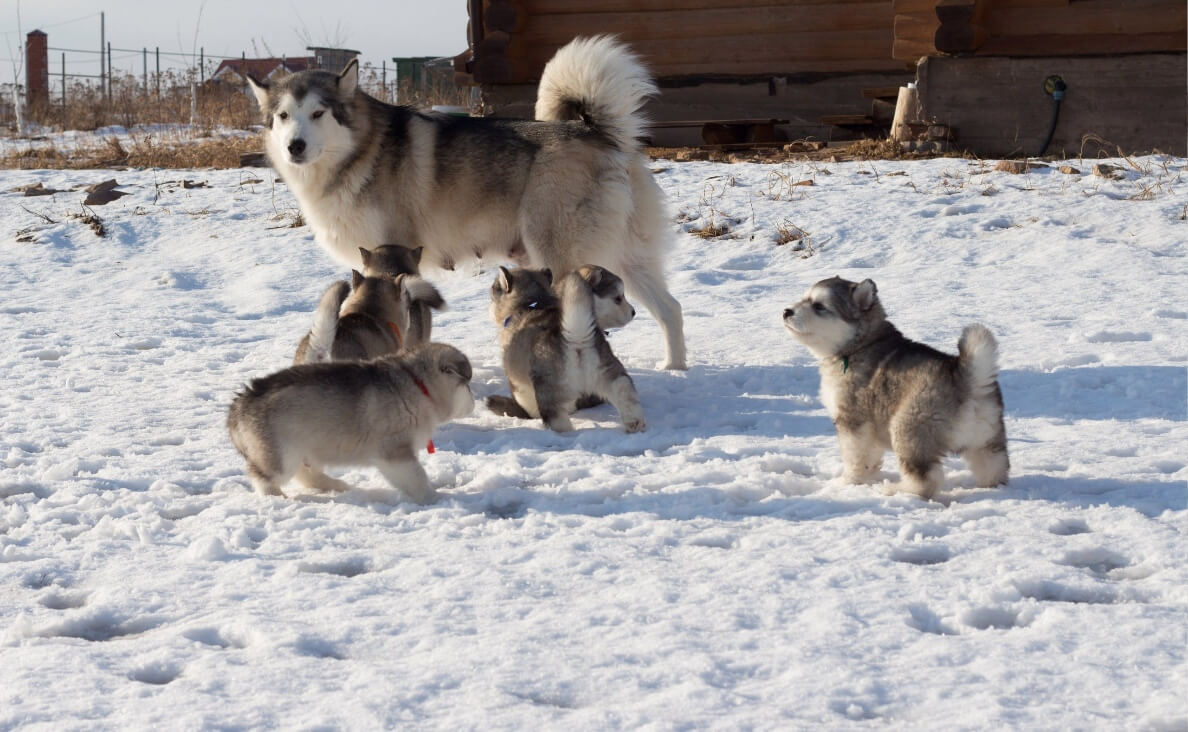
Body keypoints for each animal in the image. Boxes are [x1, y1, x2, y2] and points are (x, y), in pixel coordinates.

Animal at [226, 339, 472, 501]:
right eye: (467, 385)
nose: (474, 401)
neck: (416, 384)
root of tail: (240, 403)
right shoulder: (395, 452)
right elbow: (417, 478)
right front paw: (434, 498)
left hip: (304, 448)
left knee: (305, 474)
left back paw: (336, 485)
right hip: (280, 454)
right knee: (263, 477)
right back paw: (276, 498)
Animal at [487, 266, 646, 432]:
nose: (633, 312)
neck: (532, 302)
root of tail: (576, 337)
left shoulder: (518, 382)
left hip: (548, 389)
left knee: (557, 419)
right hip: (610, 372)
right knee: (624, 390)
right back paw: (635, 423)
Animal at [784, 276, 1007, 501]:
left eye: (819, 306)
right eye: (804, 299)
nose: (786, 311)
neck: (859, 345)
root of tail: (966, 378)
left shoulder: (852, 420)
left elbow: (854, 456)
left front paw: (847, 482)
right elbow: (870, 456)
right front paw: (868, 475)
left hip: (909, 429)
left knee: (925, 480)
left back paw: (898, 490)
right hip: (987, 438)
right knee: (994, 467)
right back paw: (989, 487)